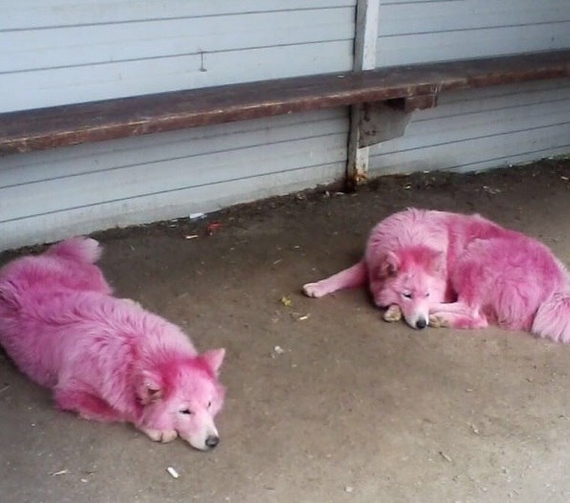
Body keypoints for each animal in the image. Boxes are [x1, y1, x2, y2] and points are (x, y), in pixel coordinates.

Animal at [0, 238, 225, 450]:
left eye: (209, 404)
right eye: (185, 411)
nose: (213, 442)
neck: (137, 350)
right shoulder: (70, 392)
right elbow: (123, 411)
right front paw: (153, 426)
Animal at [302, 208, 568, 342]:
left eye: (427, 293)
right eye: (407, 294)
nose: (421, 325)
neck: (411, 239)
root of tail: (559, 283)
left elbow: (433, 303)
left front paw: (397, 308)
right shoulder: (370, 263)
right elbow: (342, 275)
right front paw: (317, 286)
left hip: (474, 257)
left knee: (470, 308)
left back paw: (436, 316)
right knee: (480, 318)